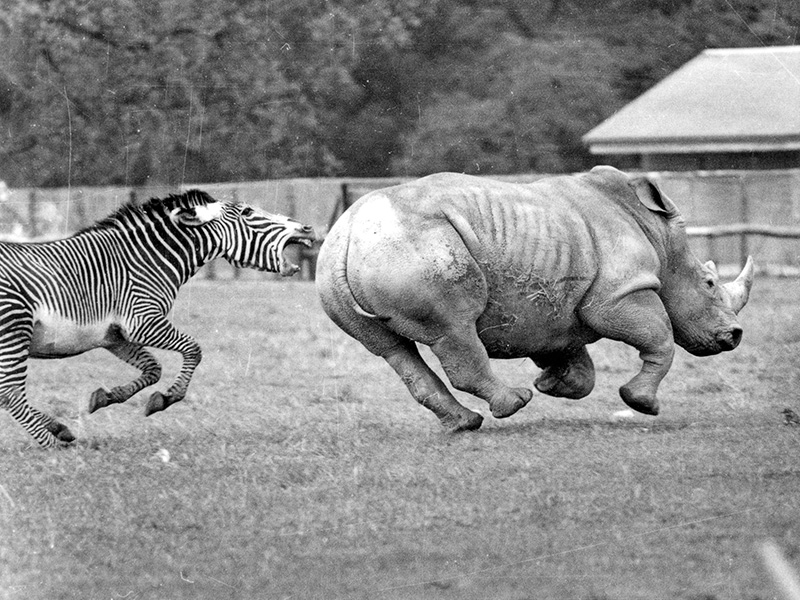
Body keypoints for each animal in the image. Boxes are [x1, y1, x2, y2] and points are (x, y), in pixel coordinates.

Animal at [0, 189, 315, 448]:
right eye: (248, 212)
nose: (308, 228)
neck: (146, 260)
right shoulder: (143, 322)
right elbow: (193, 350)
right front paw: (167, 398)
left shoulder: (115, 335)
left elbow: (153, 369)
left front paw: (109, 396)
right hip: (14, 329)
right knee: (9, 393)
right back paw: (52, 443)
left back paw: (57, 429)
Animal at [316, 166, 754, 431]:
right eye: (709, 283)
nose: (734, 336)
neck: (660, 238)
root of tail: (347, 234)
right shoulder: (619, 292)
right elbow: (661, 339)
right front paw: (642, 402)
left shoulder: (556, 310)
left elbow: (578, 366)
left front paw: (552, 382)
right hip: (418, 248)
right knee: (454, 329)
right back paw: (513, 403)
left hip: (336, 278)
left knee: (390, 348)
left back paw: (465, 424)